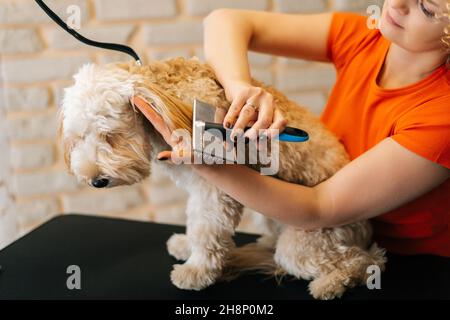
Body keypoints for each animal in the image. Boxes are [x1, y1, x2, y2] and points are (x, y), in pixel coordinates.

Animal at [59, 56, 386, 298]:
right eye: (77, 138)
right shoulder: (197, 186)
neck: (167, 95)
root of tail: (367, 226)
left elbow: (207, 229)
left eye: (110, 135)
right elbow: (195, 220)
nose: (96, 181)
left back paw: (331, 283)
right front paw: (187, 246)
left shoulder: (215, 186)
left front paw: (197, 270)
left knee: (367, 259)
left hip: (311, 242)